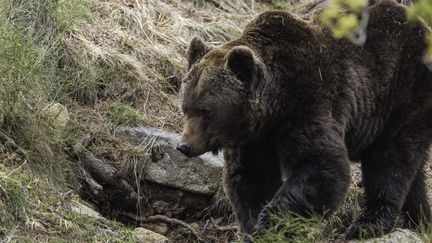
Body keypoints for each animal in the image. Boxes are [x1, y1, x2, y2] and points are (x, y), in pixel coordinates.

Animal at [176, 0, 432, 239]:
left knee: (390, 159)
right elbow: (250, 178)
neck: (275, 104)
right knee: (412, 169)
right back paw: (419, 219)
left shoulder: (308, 102)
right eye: (186, 108)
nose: (184, 146)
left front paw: (271, 225)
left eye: (206, 111)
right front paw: (254, 226)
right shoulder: (254, 139)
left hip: (402, 89)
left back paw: (368, 224)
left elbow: (320, 167)